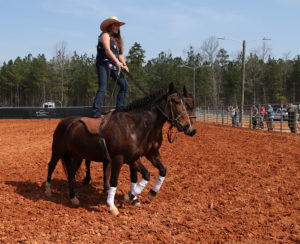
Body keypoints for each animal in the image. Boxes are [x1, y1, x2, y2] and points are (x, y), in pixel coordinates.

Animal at [44, 83, 195, 215]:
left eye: (187, 104)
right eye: (176, 101)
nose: (188, 127)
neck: (133, 126)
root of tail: (64, 121)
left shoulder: (137, 157)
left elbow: (148, 174)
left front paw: (138, 196)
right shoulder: (118, 158)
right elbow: (114, 180)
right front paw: (112, 206)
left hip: (77, 155)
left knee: (70, 173)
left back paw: (73, 197)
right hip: (58, 150)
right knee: (51, 165)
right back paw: (48, 190)